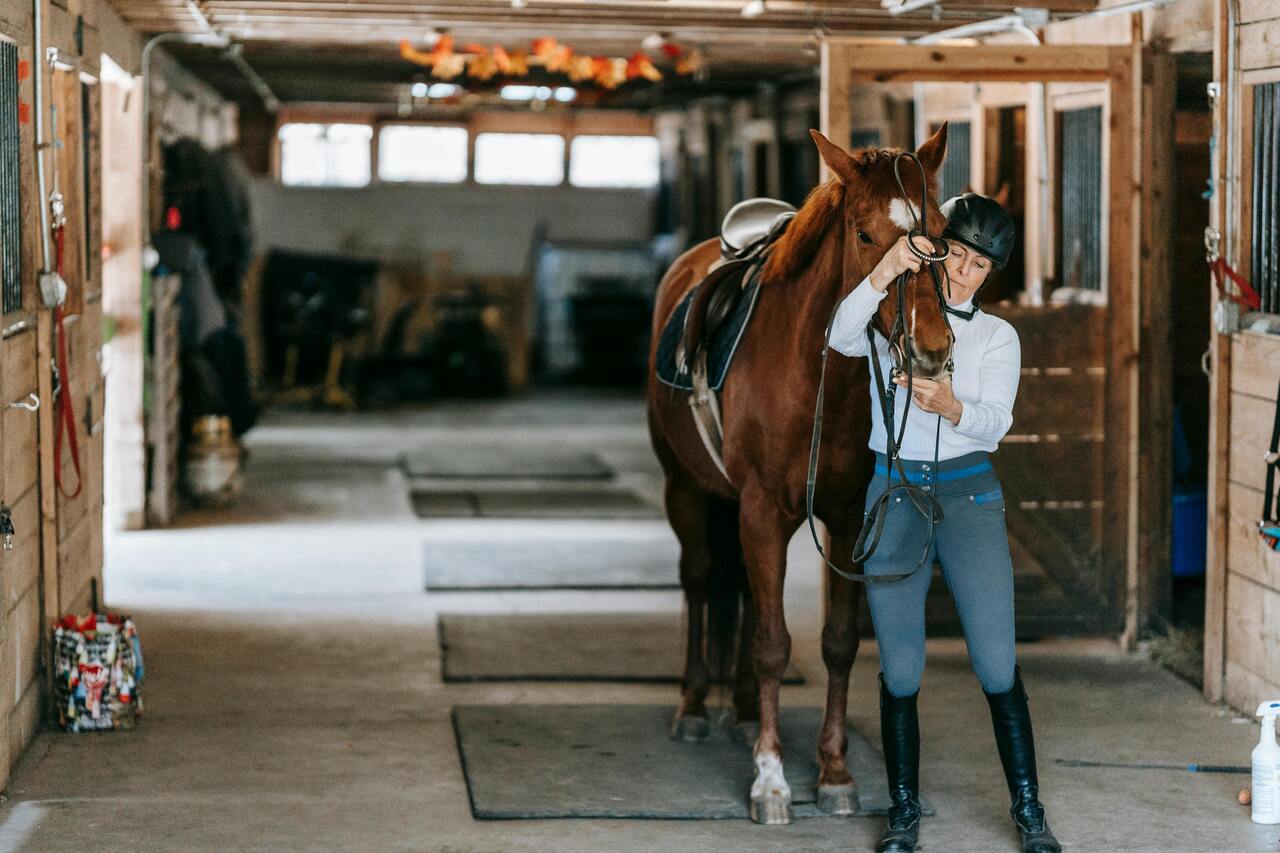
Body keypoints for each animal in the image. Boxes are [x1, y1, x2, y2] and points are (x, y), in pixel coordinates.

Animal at [645, 124, 952, 825]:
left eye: (944, 233)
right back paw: (695, 706)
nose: (931, 350)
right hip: (686, 489)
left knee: (734, 584)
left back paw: (738, 710)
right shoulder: (763, 511)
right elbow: (772, 643)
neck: (818, 375)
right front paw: (771, 781)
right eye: (865, 235)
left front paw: (835, 773)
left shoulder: (848, 518)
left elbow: (836, 641)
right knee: (700, 579)